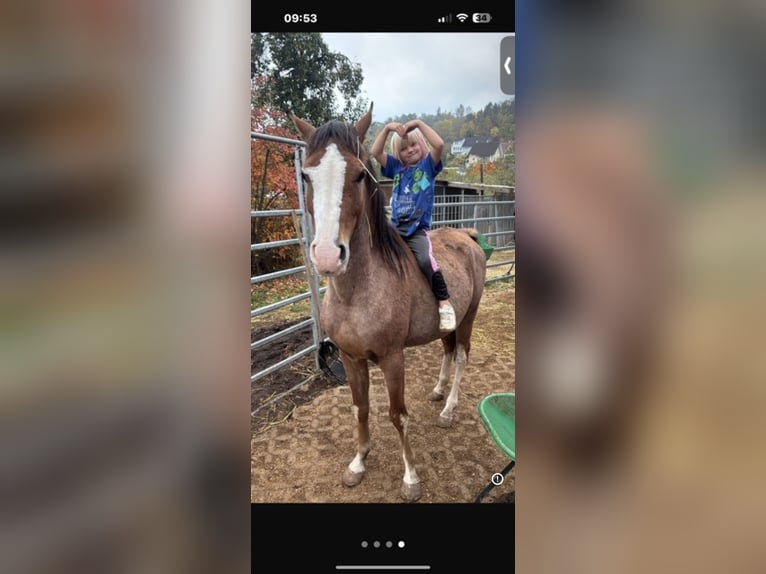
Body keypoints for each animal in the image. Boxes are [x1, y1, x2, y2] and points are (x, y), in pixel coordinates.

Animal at [292, 104, 487, 501]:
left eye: (357, 175)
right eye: (306, 175)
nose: (327, 256)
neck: (356, 293)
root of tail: (467, 236)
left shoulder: (393, 359)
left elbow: (398, 415)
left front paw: (410, 477)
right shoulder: (351, 358)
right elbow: (361, 408)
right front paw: (358, 462)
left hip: (469, 317)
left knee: (461, 356)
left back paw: (449, 409)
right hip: (450, 322)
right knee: (447, 350)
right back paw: (438, 391)